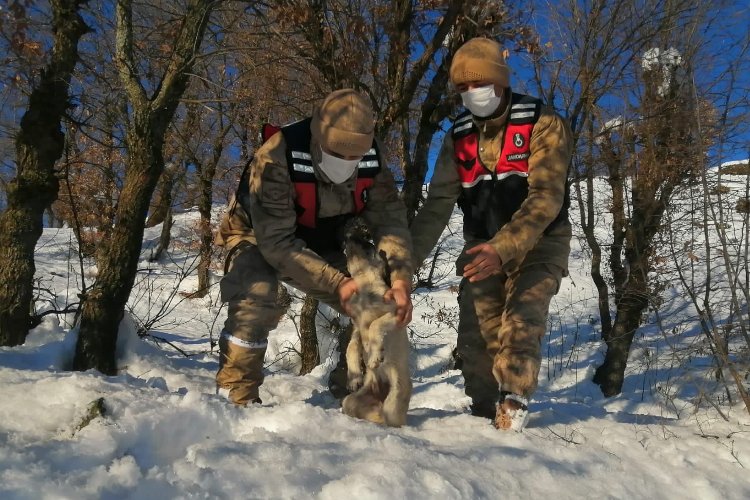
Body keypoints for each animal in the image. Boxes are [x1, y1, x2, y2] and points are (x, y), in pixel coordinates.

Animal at [340, 235, 412, 426]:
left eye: (367, 245)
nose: (348, 236)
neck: (365, 287)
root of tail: (380, 399)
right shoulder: (357, 326)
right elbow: (351, 346)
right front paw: (354, 377)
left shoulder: (395, 315)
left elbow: (375, 326)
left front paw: (374, 357)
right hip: (350, 401)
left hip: (393, 402)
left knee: (392, 420)